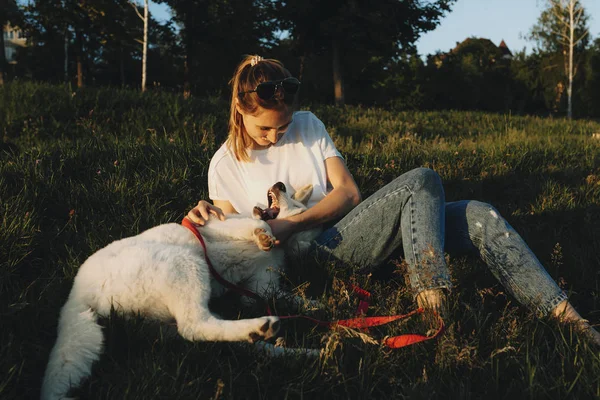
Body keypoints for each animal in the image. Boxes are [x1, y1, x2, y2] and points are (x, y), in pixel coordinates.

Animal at [42, 182, 322, 400]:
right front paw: (262, 234)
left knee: (208, 333)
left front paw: (318, 305)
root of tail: (77, 295)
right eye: (288, 194)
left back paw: (298, 352)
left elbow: (290, 298)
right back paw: (264, 330)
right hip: (186, 262)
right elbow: (259, 226)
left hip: (170, 316)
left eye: (295, 203)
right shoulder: (221, 225)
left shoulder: (259, 288)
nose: (279, 185)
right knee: (194, 326)